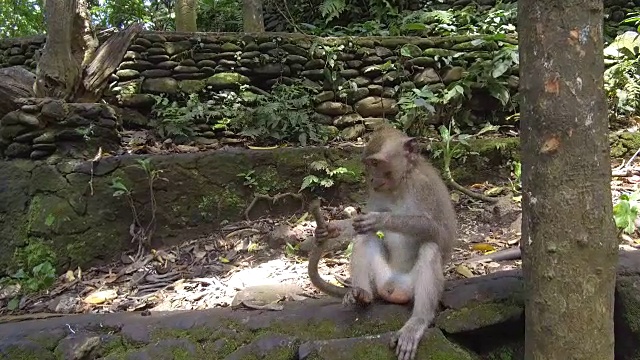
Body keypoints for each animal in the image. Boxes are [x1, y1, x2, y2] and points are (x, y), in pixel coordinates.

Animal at [308, 126, 458, 360]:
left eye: (376, 163)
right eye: (368, 165)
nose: (371, 179)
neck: (401, 183)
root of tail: (393, 289)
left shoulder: (425, 187)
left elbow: (440, 233)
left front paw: (380, 219)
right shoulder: (377, 192)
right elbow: (359, 227)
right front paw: (328, 230)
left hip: (411, 288)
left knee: (430, 249)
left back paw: (417, 321)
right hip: (381, 279)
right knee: (364, 238)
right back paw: (362, 294)